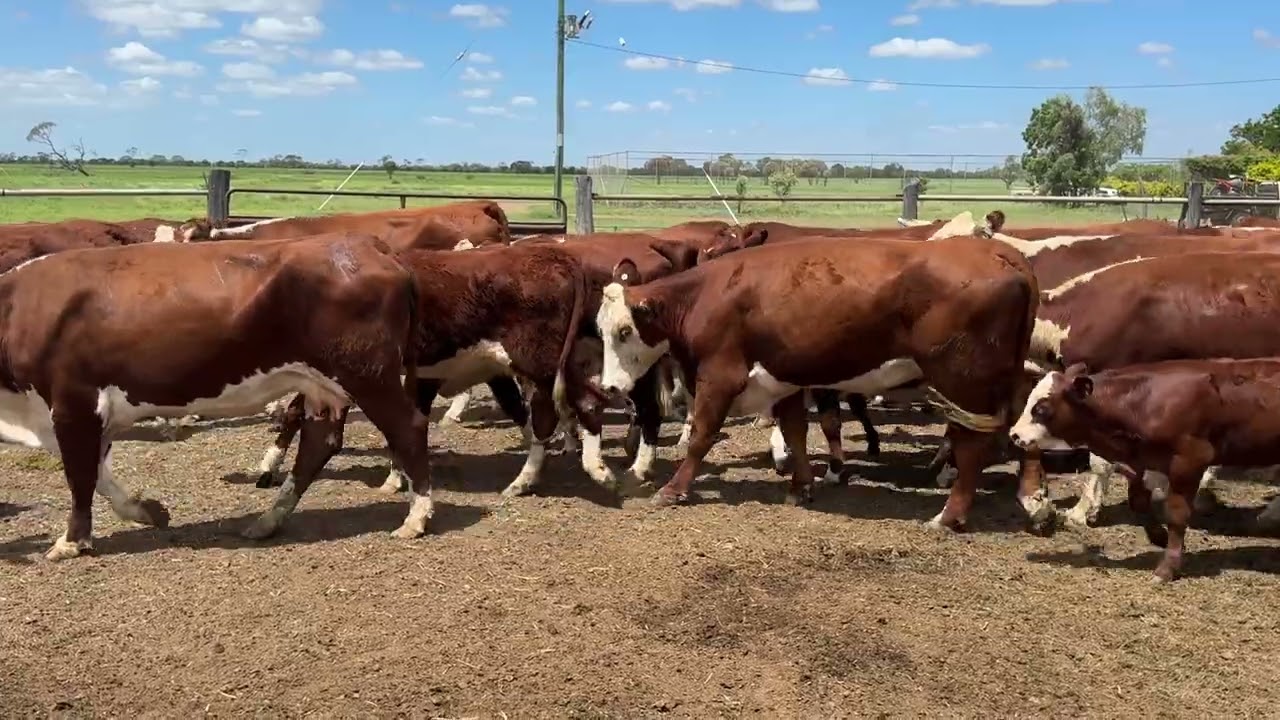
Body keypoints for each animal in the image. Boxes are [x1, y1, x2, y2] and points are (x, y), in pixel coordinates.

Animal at [0, 233, 438, 561]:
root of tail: (368, 244)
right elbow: (98, 475)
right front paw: (146, 511)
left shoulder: (74, 403)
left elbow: (80, 477)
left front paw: (71, 541)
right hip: (322, 385)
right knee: (319, 444)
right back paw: (268, 521)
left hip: (368, 375)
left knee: (408, 427)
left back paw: (416, 517)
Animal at [594, 234, 1039, 530]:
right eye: (599, 329)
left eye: (624, 331)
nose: (610, 387)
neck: (708, 295)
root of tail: (1003, 254)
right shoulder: (786, 379)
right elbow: (795, 431)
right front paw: (801, 485)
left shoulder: (720, 377)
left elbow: (702, 435)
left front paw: (673, 490)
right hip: (1008, 380)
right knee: (1025, 428)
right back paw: (1036, 502)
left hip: (964, 383)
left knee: (972, 446)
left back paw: (950, 514)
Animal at [1010, 359, 1280, 582]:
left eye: (1041, 408)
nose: (1014, 434)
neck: (1143, 401)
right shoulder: (1144, 462)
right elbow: (1138, 503)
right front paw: (1159, 536)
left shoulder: (1189, 461)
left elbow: (1177, 514)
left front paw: (1167, 568)